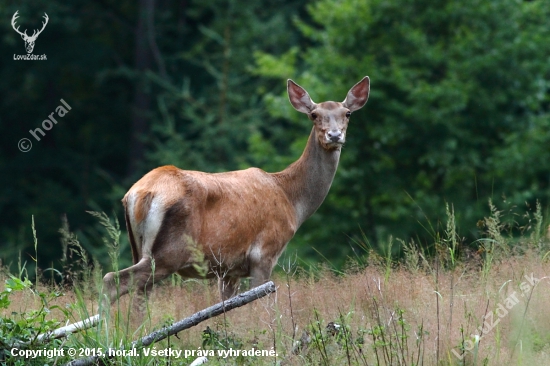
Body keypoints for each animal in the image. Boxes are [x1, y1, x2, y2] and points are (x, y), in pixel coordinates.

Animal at [103, 77, 370, 312]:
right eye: (314, 115)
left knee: (138, 295)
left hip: (140, 248)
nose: (334, 135)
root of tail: (140, 193)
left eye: (347, 113)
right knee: (112, 280)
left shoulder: (229, 269)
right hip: (170, 251)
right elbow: (263, 308)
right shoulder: (264, 253)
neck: (292, 200)